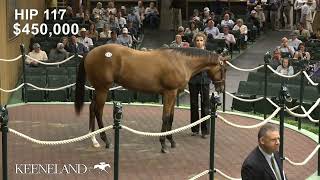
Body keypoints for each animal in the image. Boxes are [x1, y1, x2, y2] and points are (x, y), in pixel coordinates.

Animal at [75, 43, 228, 152]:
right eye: (224, 69)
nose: (221, 89)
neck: (181, 61)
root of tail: (90, 52)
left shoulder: (173, 94)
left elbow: (171, 118)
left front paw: (171, 141)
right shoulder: (169, 93)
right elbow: (166, 117)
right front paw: (163, 144)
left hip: (98, 89)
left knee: (91, 108)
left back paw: (94, 140)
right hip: (103, 89)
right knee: (98, 111)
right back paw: (106, 141)